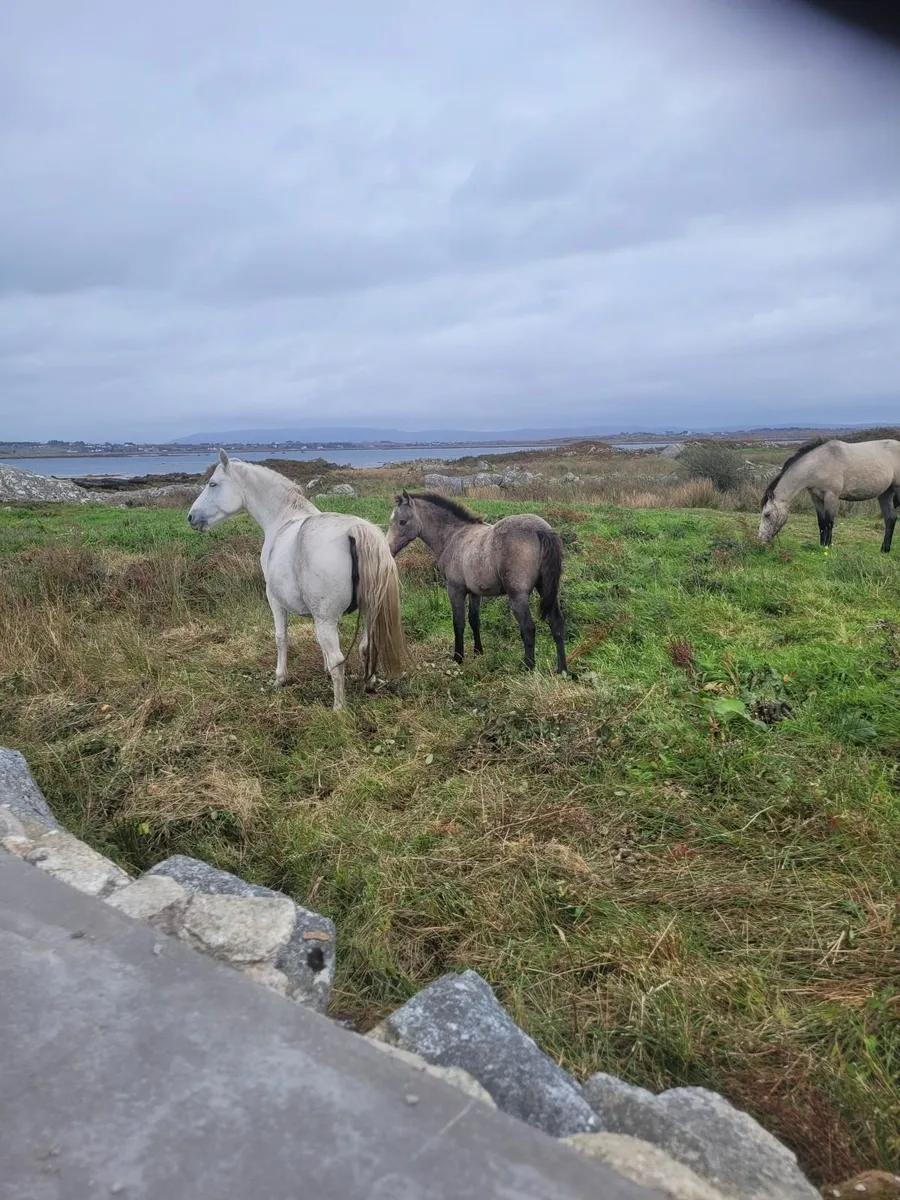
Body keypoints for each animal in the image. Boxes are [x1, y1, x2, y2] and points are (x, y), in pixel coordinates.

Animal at [187, 451, 406, 710]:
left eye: (213, 484)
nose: (191, 517)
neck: (284, 518)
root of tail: (354, 530)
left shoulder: (274, 599)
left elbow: (281, 638)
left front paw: (280, 678)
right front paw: (324, 669)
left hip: (328, 619)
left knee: (339, 659)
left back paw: (338, 709)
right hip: (370, 613)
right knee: (366, 647)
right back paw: (368, 684)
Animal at [387, 490, 567, 673]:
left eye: (402, 521)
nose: (388, 549)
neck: (453, 536)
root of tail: (540, 529)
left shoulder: (455, 590)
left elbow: (458, 623)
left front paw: (458, 657)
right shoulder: (475, 592)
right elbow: (474, 620)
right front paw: (478, 651)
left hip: (518, 596)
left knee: (528, 628)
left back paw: (528, 668)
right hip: (547, 589)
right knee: (557, 624)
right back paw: (562, 670)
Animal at [758, 438, 900, 551]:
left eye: (767, 514)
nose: (761, 540)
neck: (819, 464)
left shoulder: (831, 496)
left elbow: (829, 522)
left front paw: (827, 546)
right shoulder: (816, 498)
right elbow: (821, 522)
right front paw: (821, 545)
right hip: (885, 494)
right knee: (890, 518)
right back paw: (884, 550)